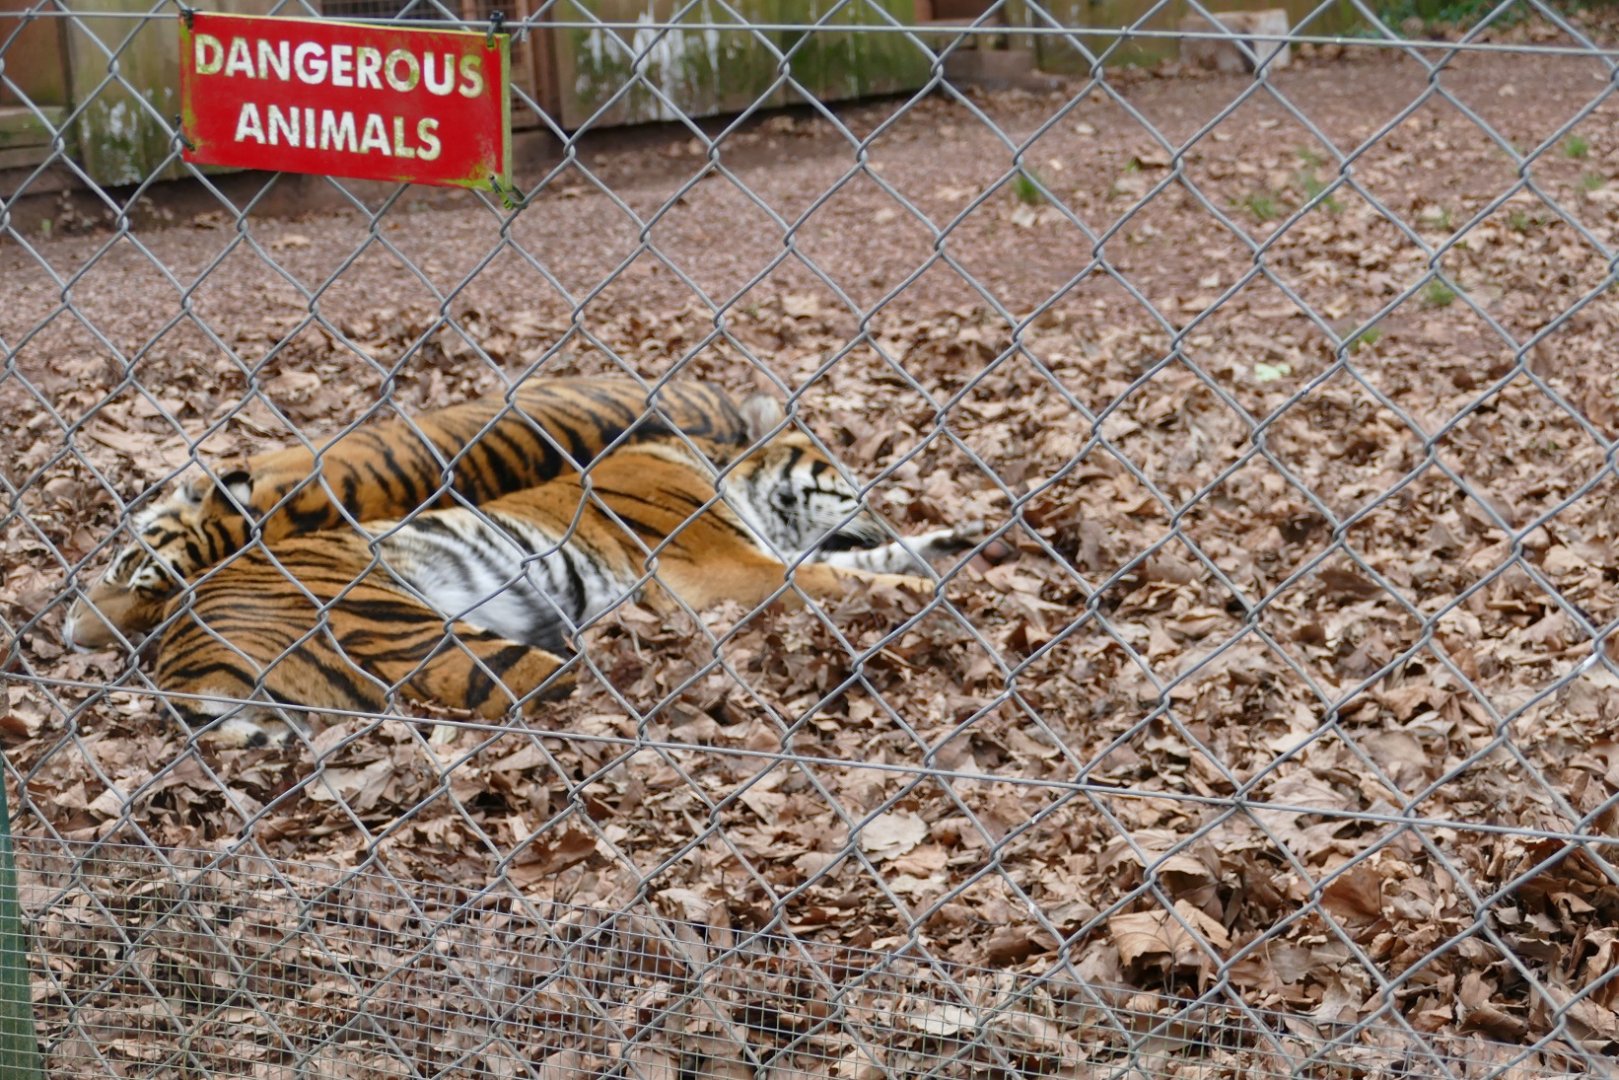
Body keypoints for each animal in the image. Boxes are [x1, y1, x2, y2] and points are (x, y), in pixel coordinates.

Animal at [151, 396, 982, 747]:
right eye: (846, 471)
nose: (885, 506)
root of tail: (172, 656)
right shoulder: (728, 568)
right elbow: (843, 578)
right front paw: (934, 591)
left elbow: (861, 561)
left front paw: (959, 544)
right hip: (416, 630)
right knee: (544, 688)